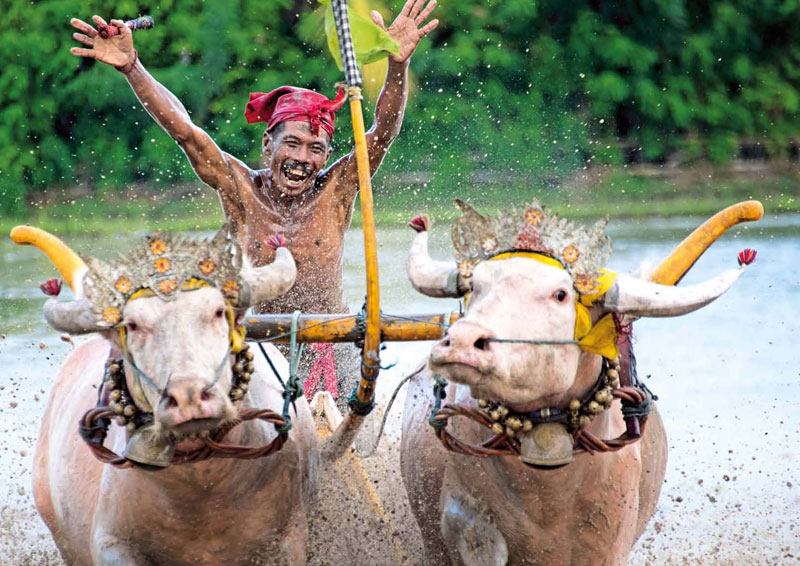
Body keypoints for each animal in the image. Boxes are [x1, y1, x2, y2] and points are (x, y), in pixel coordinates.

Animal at [13, 227, 318, 566]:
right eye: (133, 325)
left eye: (217, 312)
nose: (189, 396)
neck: (202, 488)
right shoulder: (111, 543)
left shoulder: (289, 538)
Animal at [404, 207, 752, 566]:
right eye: (475, 286)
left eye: (560, 294)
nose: (460, 342)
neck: (545, 487)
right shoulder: (467, 523)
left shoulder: (610, 537)